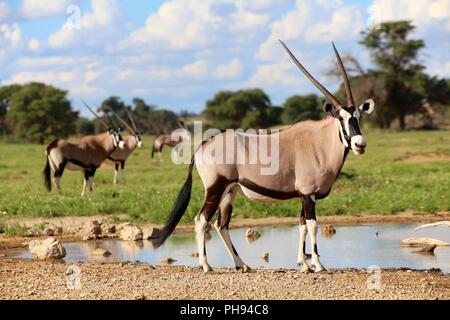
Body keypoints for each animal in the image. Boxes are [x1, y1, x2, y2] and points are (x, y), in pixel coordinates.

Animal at [149, 41, 374, 274]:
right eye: (341, 118)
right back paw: (206, 265)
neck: (320, 142)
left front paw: (303, 264)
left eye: (358, 117)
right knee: (201, 220)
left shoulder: (303, 196)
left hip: (229, 192)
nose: (359, 144)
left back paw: (242, 264)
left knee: (221, 224)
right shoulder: (307, 194)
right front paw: (318, 265)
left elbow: (301, 225)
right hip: (215, 188)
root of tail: (204, 145)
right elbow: (312, 225)